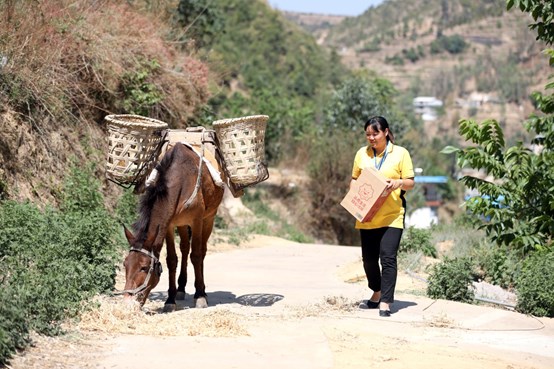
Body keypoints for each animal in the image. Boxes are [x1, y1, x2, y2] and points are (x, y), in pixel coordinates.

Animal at [122, 142, 223, 310]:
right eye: (125, 265)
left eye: (144, 267)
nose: (128, 302)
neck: (180, 179)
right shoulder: (168, 225)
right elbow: (171, 259)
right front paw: (170, 299)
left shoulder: (197, 220)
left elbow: (196, 255)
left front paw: (200, 295)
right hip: (181, 224)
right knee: (184, 248)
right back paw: (181, 289)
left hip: (209, 218)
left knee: (201, 251)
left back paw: (201, 290)